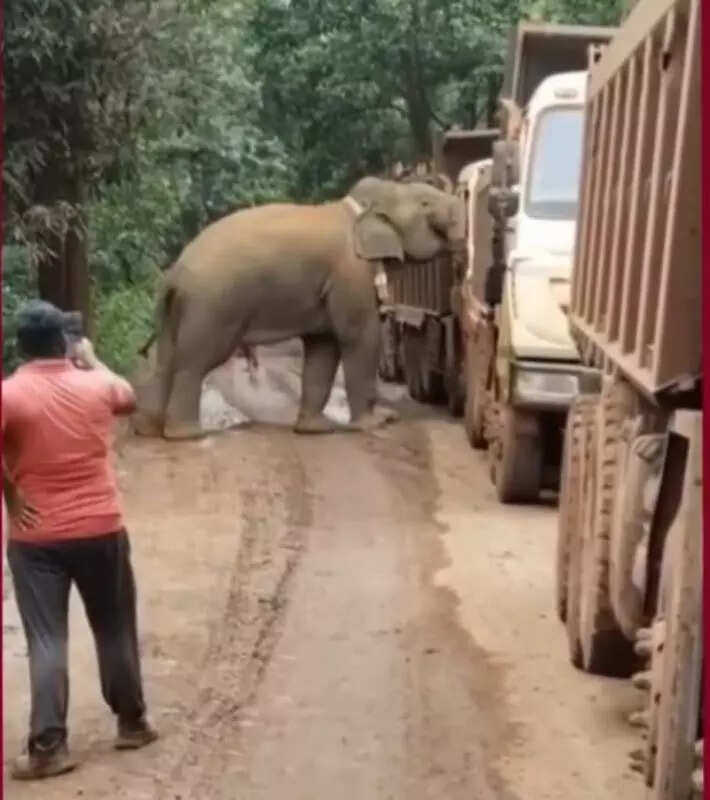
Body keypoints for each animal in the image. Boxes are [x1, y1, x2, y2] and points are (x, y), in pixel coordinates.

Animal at [132, 176, 465, 440]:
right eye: (425, 203)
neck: (358, 207)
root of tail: (174, 273)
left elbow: (323, 348)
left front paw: (314, 430)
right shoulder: (350, 273)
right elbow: (359, 337)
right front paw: (377, 423)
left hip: (180, 310)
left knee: (167, 360)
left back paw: (149, 430)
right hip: (212, 306)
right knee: (195, 361)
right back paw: (186, 435)